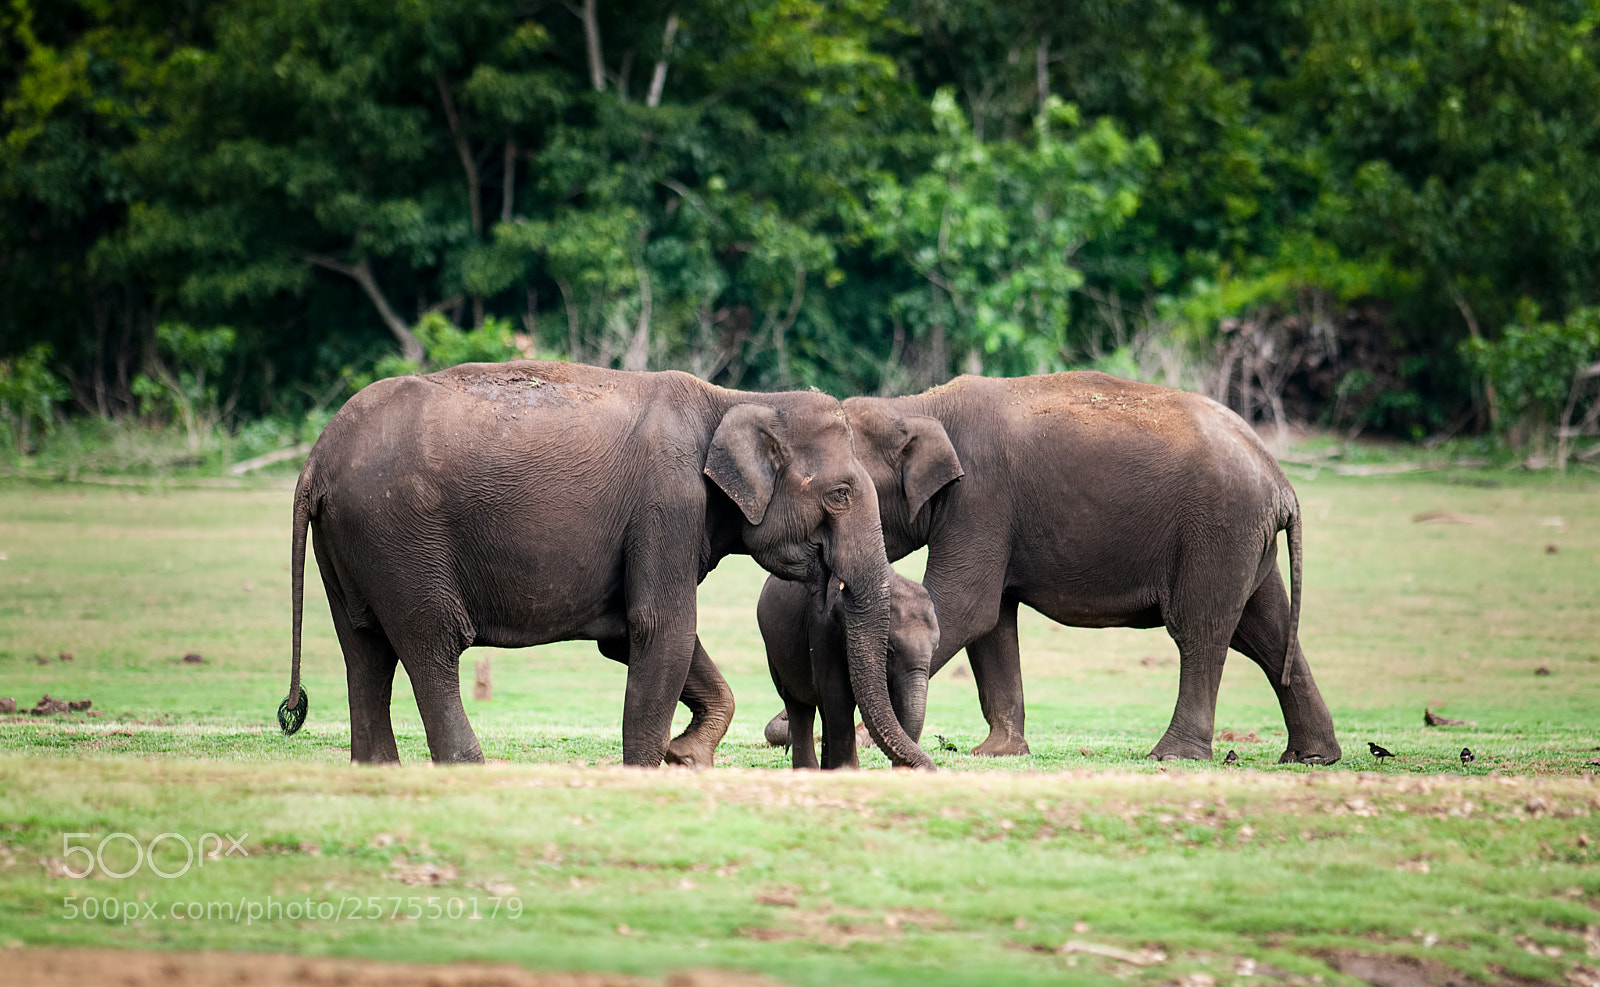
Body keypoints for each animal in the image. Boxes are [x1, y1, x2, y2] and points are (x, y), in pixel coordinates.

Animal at [758, 571, 938, 769]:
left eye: (936, 649)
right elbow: (839, 695)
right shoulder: (823, 631)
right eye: (889, 652)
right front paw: (847, 770)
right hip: (775, 652)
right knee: (798, 705)